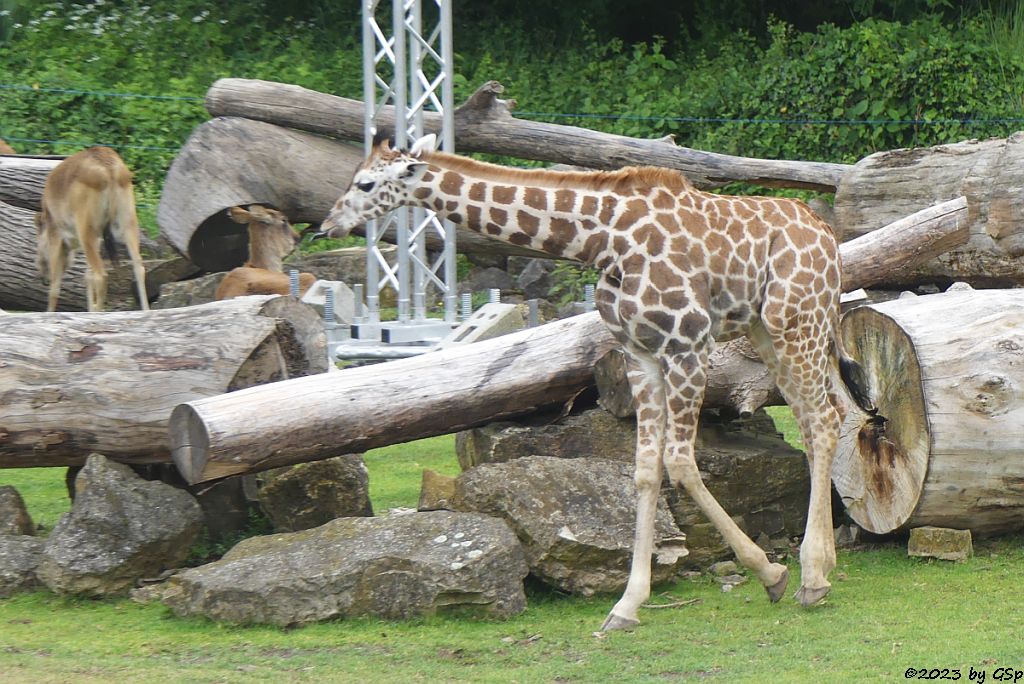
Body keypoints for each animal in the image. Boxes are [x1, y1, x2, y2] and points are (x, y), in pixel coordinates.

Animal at [35, 148, 149, 313]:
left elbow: (54, 288)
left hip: (86, 229)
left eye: (38, 247)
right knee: (139, 268)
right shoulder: (97, 239)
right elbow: (86, 276)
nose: (42, 278)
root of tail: (110, 169)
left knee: (101, 275)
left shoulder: (56, 235)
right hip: (127, 223)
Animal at [319, 132, 872, 630]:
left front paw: (770, 574)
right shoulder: (639, 354)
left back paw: (810, 577)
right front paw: (627, 605)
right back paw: (823, 566)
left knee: (824, 419)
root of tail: (827, 237)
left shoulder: (688, 343)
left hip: (796, 322)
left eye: (366, 183)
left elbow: (680, 461)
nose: (328, 225)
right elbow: (646, 469)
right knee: (820, 419)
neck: (603, 239)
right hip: (769, 331)